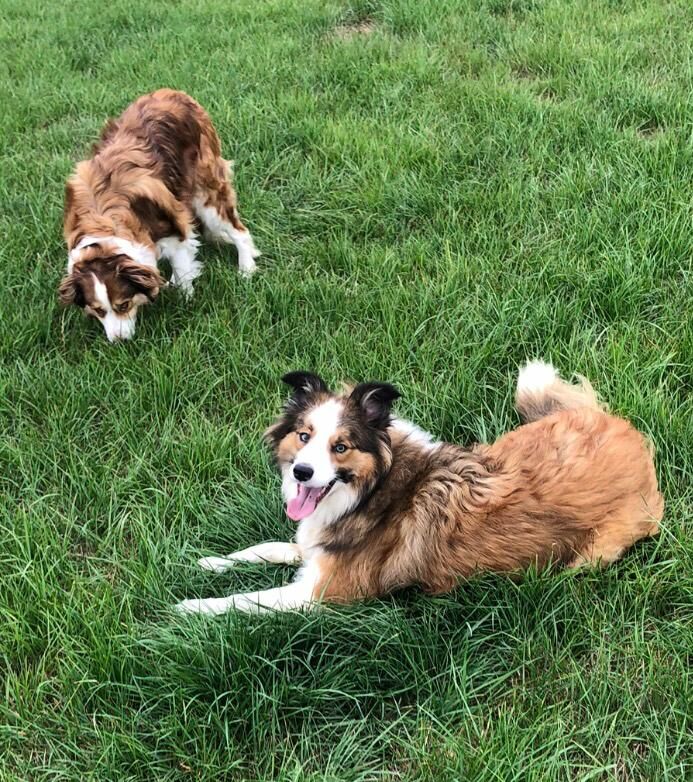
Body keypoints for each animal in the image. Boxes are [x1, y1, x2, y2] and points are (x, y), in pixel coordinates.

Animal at [58, 89, 260, 340]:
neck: (104, 227)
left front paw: (185, 302)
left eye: (123, 305)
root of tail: (172, 91)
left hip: (207, 191)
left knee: (239, 230)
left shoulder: (174, 226)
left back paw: (246, 268)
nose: (118, 342)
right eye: (98, 311)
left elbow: (182, 264)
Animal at [176, 362, 664, 620]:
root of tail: (634, 437)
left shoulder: (320, 595)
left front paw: (192, 607)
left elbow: (247, 599)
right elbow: (269, 548)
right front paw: (210, 562)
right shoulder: (315, 546)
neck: (375, 491)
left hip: (591, 555)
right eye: (303, 435)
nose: (301, 473)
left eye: (341, 446)